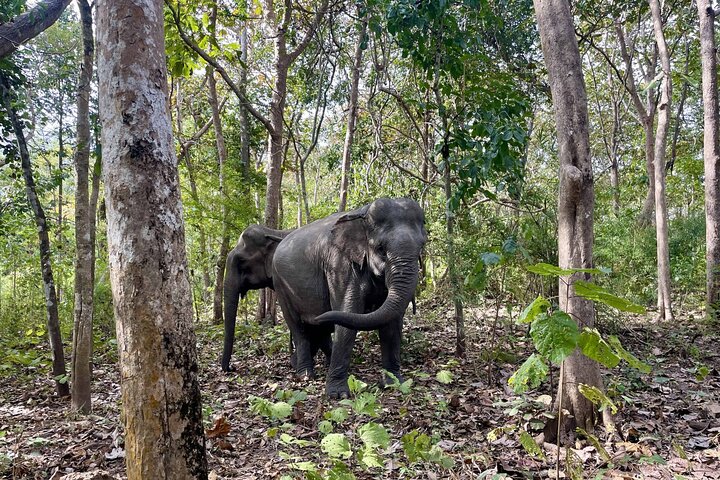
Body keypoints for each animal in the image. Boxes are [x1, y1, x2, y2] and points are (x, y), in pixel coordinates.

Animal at [272, 197, 427, 398]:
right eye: (381, 249)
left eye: (422, 246)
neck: (363, 214)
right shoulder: (339, 265)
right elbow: (347, 313)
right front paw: (338, 395)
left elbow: (392, 324)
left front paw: (394, 384)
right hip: (280, 285)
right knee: (299, 329)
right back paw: (305, 375)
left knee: (319, 329)